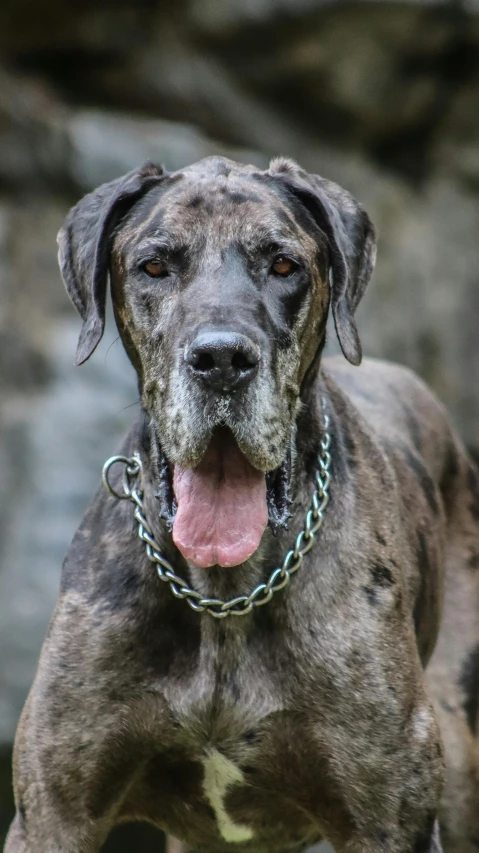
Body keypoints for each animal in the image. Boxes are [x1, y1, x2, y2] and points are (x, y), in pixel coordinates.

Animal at [5, 155, 479, 852]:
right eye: (155, 266)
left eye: (284, 265)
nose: (222, 358)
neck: (224, 594)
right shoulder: (54, 815)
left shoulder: (389, 824)